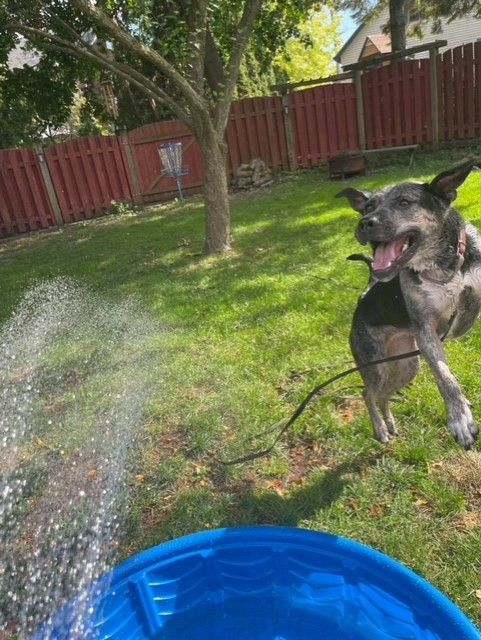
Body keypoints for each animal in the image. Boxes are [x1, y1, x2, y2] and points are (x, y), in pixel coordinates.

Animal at [336, 160, 480, 450]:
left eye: (404, 202)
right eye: (367, 207)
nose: (365, 222)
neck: (442, 267)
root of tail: (363, 297)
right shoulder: (426, 332)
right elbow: (445, 377)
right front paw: (460, 419)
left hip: (407, 366)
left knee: (383, 395)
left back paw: (390, 424)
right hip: (375, 365)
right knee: (368, 392)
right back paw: (380, 428)